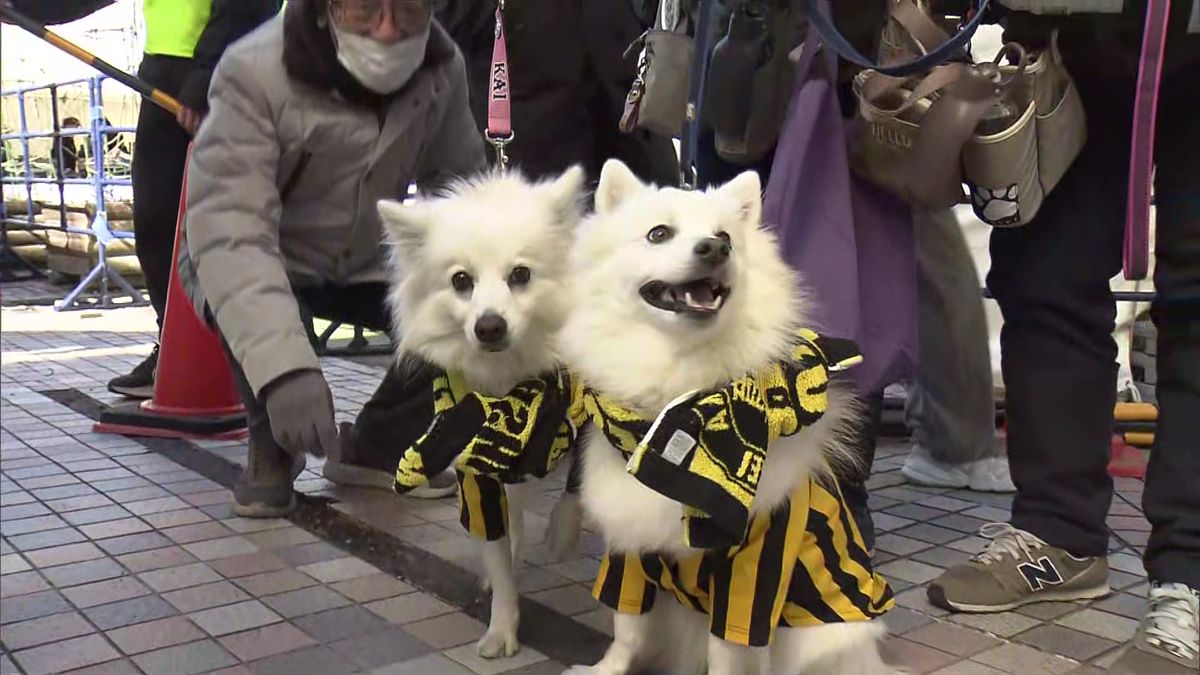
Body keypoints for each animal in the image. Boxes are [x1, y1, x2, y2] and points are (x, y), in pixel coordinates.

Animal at [379, 166, 585, 658]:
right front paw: (502, 626)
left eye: (521, 274)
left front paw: (562, 535)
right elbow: (497, 548)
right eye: (460, 281)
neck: (512, 388)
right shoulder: (477, 469)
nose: (489, 325)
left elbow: (579, 483)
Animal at [556, 159, 897, 667]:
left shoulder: (755, 565)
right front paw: (606, 669)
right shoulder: (631, 545)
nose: (715, 248)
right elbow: (626, 624)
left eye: (726, 237)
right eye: (658, 234)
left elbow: (730, 649)